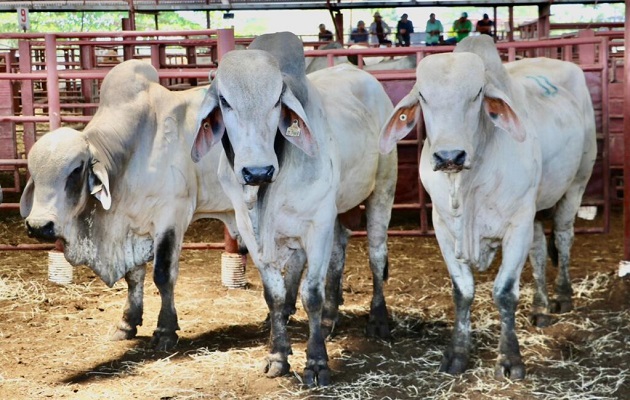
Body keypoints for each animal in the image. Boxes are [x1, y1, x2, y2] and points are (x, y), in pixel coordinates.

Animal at [20, 59, 237, 350]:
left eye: (75, 170)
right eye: (33, 173)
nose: (38, 225)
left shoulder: (172, 216)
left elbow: (163, 274)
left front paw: (165, 331)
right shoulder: (131, 228)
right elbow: (133, 277)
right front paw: (126, 323)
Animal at [193, 32, 400, 386]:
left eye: (278, 100)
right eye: (225, 101)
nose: (257, 171)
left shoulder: (317, 224)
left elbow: (311, 294)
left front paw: (316, 362)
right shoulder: (252, 231)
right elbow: (274, 295)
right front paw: (277, 354)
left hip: (382, 190)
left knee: (376, 255)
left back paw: (377, 320)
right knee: (338, 251)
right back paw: (330, 318)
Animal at [380, 36, 596, 380]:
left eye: (478, 93)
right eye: (423, 95)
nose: (449, 156)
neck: (468, 181)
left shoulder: (517, 225)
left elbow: (504, 292)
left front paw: (510, 359)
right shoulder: (443, 229)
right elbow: (463, 291)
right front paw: (457, 354)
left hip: (577, 182)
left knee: (563, 237)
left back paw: (562, 297)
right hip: (536, 209)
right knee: (538, 251)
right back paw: (540, 307)